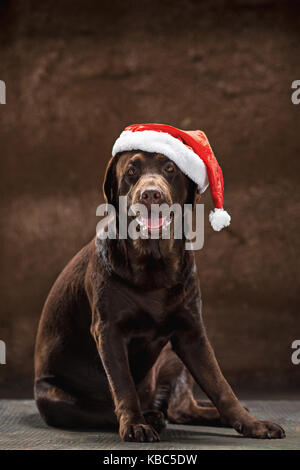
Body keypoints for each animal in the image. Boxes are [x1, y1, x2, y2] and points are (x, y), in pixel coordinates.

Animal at [34, 130, 284, 442]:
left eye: (170, 168)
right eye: (131, 171)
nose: (151, 194)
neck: (154, 265)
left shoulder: (192, 332)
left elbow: (220, 385)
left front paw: (251, 423)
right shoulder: (108, 331)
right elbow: (123, 385)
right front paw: (135, 425)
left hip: (172, 356)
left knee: (181, 409)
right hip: (53, 396)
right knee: (106, 409)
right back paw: (150, 416)